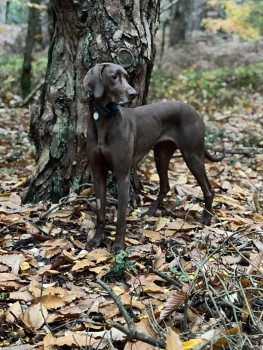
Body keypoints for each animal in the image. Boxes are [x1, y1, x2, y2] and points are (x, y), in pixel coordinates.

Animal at [84, 63, 225, 252]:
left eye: (127, 77)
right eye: (114, 76)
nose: (133, 93)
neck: (104, 120)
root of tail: (195, 111)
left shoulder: (123, 175)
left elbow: (121, 217)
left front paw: (119, 245)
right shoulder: (98, 174)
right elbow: (100, 212)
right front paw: (96, 240)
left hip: (192, 156)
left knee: (209, 190)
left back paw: (206, 219)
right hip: (161, 155)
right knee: (165, 186)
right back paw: (150, 212)